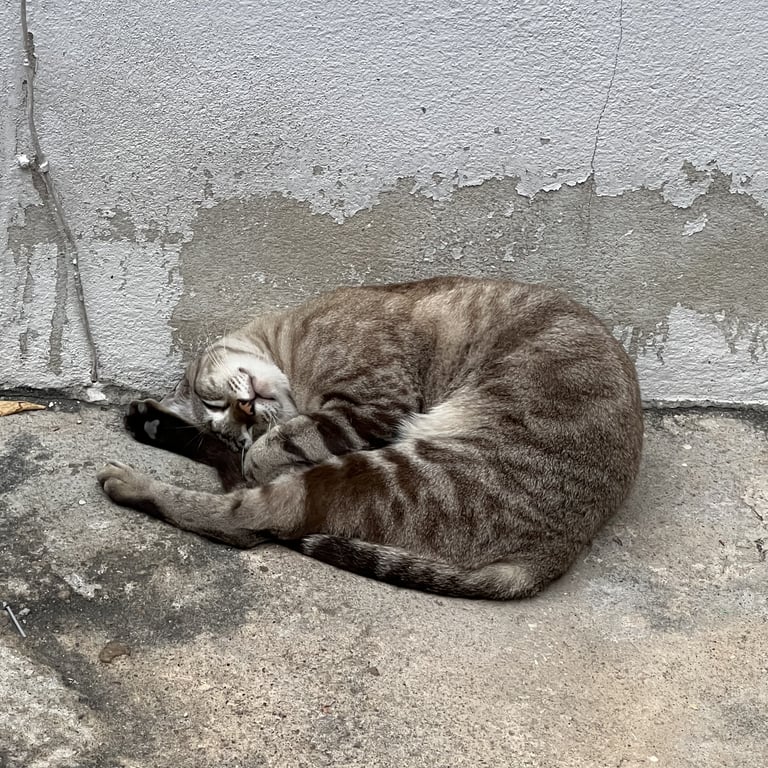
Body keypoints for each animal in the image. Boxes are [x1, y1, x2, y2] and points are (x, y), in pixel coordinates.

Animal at [98, 276, 643, 599]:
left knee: (246, 520)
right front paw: (168, 424)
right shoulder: (359, 413)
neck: (290, 346)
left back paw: (134, 477)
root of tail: (559, 550)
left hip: (386, 470)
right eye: (229, 420)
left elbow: (284, 442)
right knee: (244, 512)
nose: (246, 414)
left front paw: (256, 449)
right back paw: (146, 438)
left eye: (217, 404)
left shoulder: (367, 409)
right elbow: (254, 448)